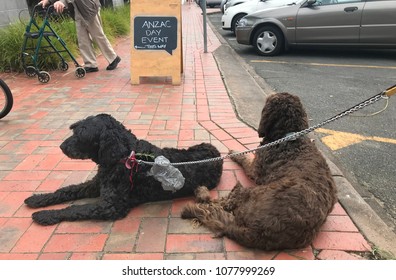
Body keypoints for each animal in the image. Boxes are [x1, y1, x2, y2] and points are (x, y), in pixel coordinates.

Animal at [24, 114, 223, 225]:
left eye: (81, 135)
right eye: (74, 129)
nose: (61, 146)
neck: (123, 156)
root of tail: (217, 153)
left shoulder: (110, 206)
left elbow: (75, 209)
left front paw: (46, 215)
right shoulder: (95, 185)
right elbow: (66, 190)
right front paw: (38, 199)